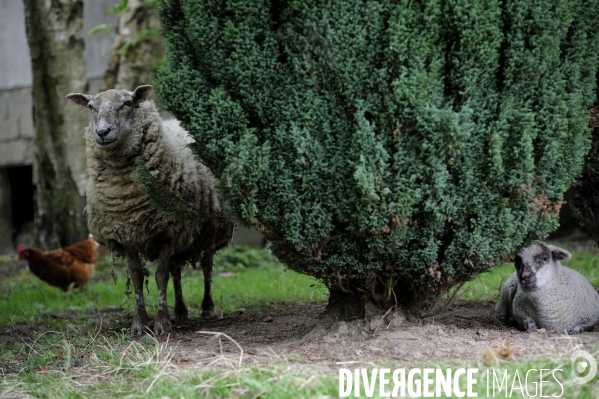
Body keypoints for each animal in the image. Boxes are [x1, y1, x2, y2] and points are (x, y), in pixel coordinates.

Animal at [65, 86, 234, 336]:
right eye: (91, 107)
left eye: (127, 103)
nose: (102, 132)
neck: (125, 195)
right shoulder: (128, 234)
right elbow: (137, 278)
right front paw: (139, 323)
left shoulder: (166, 231)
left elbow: (160, 275)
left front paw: (162, 323)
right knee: (177, 270)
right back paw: (181, 311)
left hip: (211, 229)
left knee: (206, 267)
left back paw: (207, 307)